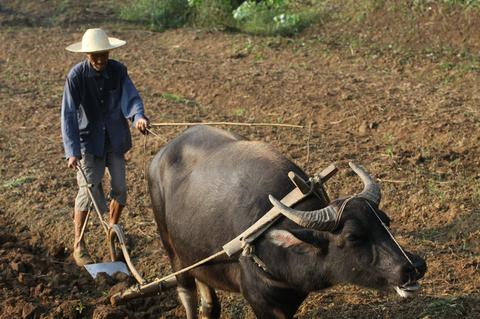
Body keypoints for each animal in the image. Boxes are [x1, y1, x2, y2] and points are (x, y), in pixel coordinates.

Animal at [148, 126, 426, 318]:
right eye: (352, 236)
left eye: (386, 222)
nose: (414, 267)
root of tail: (160, 155)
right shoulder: (261, 302)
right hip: (171, 250)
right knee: (187, 292)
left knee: (209, 302)